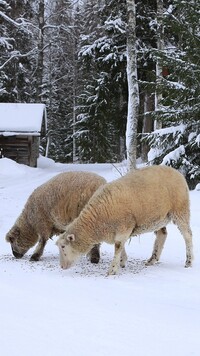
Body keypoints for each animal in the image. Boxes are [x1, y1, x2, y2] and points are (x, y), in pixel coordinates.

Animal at [55, 165, 193, 276]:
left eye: (63, 246)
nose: (62, 266)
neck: (97, 221)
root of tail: (177, 172)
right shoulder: (118, 230)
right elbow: (120, 246)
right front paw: (122, 261)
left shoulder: (124, 226)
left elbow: (118, 247)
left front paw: (112, 270)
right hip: (158, 218)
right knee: (162, 234)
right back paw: (152, 259)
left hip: (180, 210)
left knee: (187, 235)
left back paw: (189, 261)